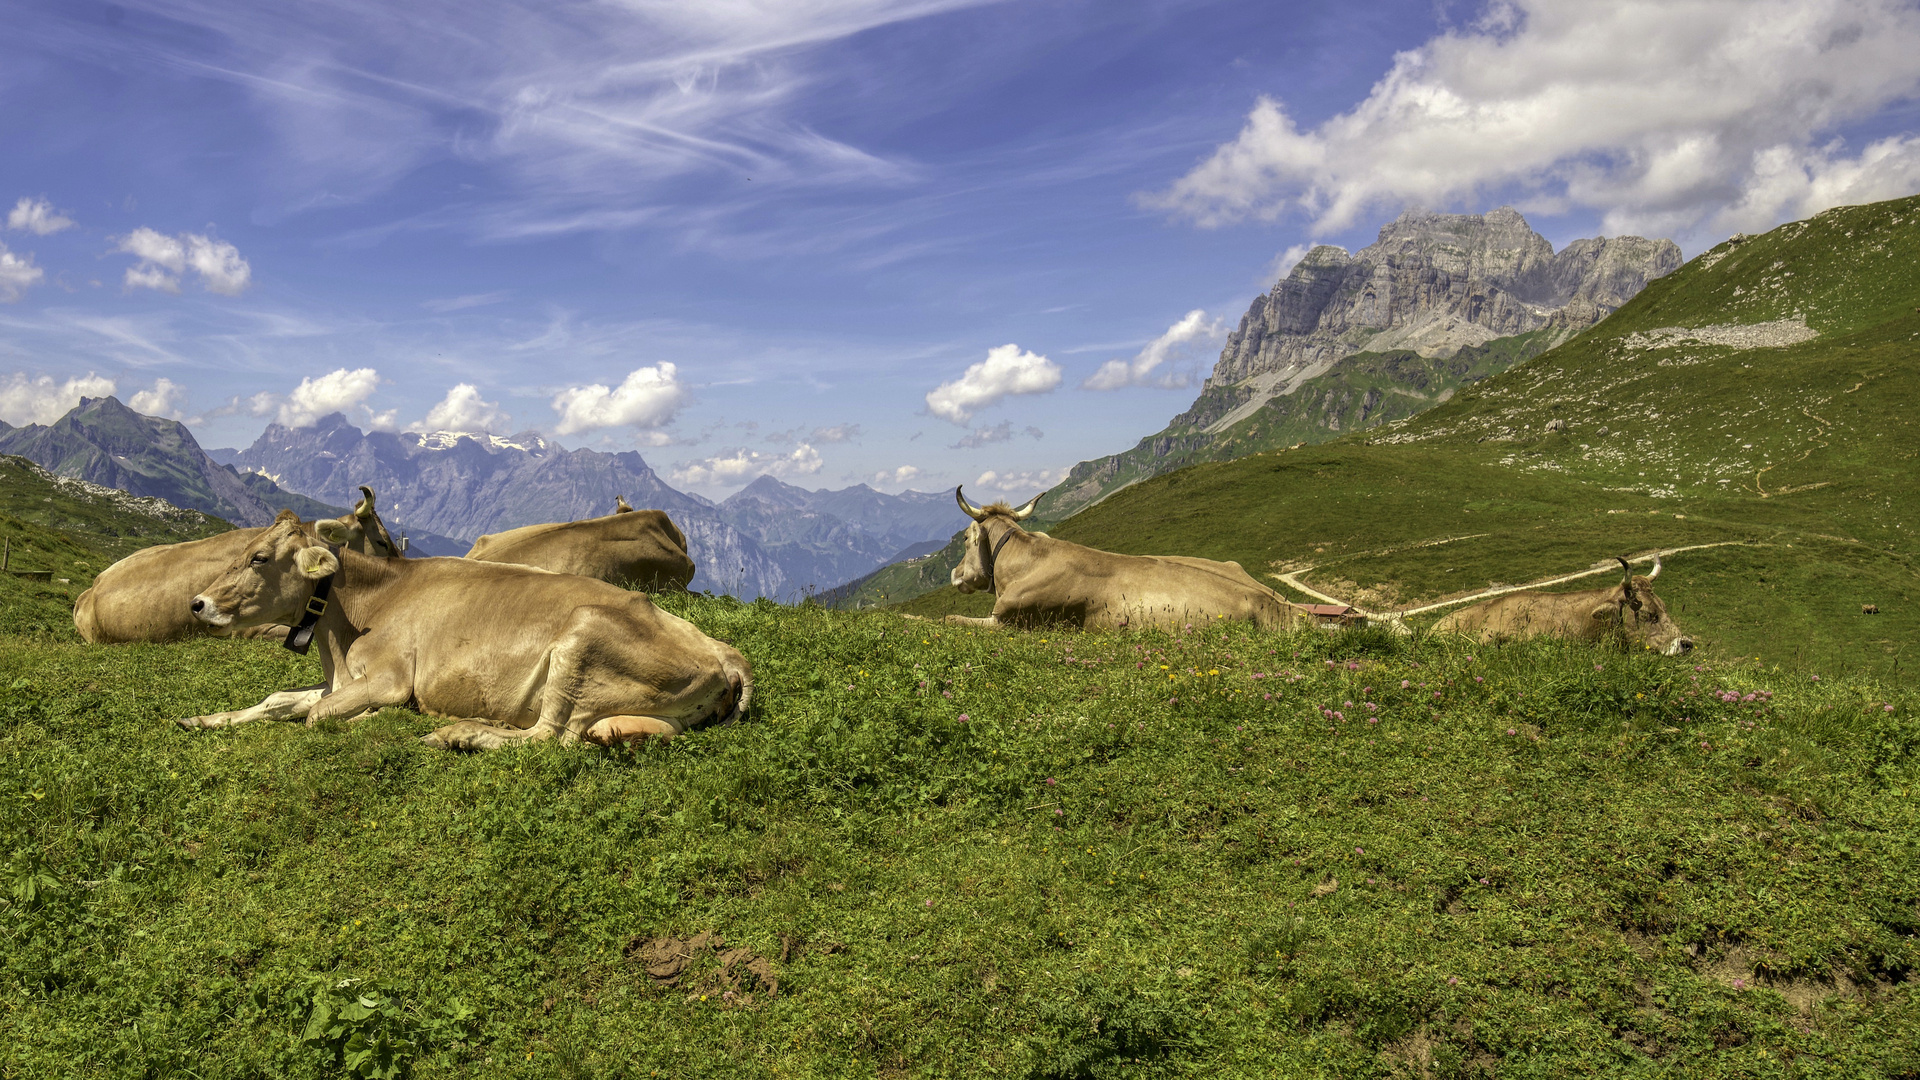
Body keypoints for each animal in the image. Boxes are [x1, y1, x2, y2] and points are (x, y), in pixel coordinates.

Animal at [178, 507, 748, 745]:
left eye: (259, 558)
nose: (197, 603)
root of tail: (728, 655)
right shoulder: (341, 678)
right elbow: (280, 700)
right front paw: (203, 720)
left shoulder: (390, 678)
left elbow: (318, 716)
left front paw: (376, 719)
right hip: (645, 712)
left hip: (582, 638)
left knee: (547, 738)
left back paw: (460, 733)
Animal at [944, 480, 1305, 630]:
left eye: (964, 538)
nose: (954, 573)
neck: (1023, 564)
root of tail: (1279, 605)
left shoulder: (1010, 620)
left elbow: (950, 619)